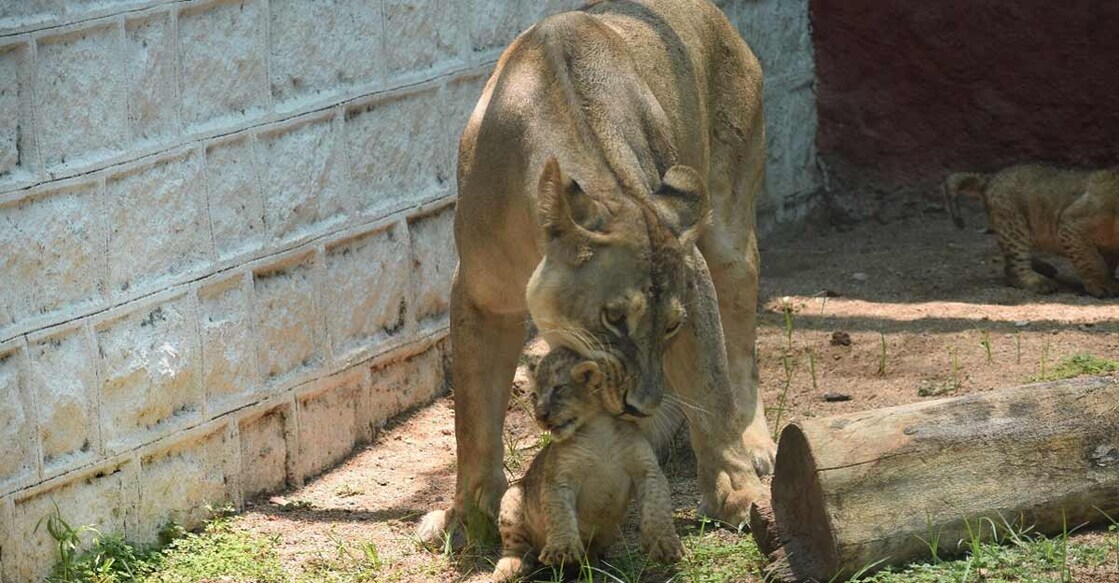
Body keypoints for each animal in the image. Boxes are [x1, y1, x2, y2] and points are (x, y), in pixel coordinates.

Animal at [419, 0, 775, 546]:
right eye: (613, 317)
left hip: (732, 232)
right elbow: (474, 417)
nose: (639, 404)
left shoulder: (693, 277)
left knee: (740, 352)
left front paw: (739, 495)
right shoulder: (479, 296)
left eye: (671, 324)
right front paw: (467, 518)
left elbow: (711, 388)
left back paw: (754, 443)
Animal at [492, 347, 683, 582]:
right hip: (512, 497)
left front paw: (666, 546)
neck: (599, 430)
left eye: (558, 389)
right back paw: (511, 568)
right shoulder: (559, 477)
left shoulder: (647, 469)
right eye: (534, 396)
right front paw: (561, 550)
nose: (540, 416)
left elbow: (658, 508)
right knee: (517, 548)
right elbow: (559, 513)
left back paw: (589, 567)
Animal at [945, 164, 1119, 298]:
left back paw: (1043, 267)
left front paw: (1109, 279)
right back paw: (1038, 281)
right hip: (1014, 226)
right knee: (1013, 267)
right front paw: (1101, 285)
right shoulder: (1072, 224)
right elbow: (1091, 260)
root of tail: (990, 178)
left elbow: (1106, 261)